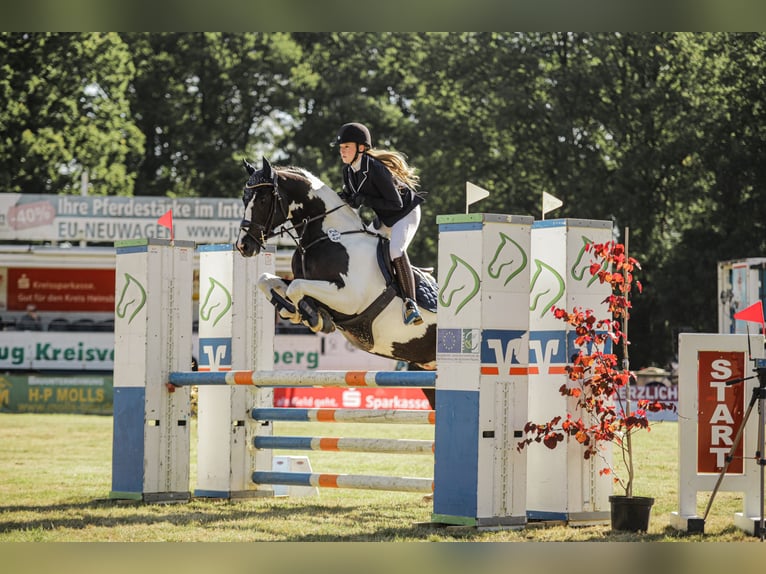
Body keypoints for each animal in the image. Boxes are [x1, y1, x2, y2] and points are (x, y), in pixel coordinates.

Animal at [236, 158, 438, 378]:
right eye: (244, 199)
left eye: (263, 200)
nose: (243, 246)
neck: (327, 236)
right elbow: (266, 280)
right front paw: (294, 312)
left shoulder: (349, 298)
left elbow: (295, 287)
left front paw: (314, 317)